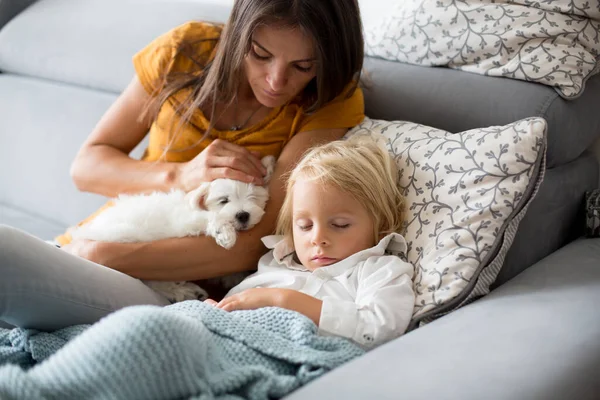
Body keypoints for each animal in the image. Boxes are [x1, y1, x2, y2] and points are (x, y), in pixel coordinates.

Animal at [71, 155, 276, 302]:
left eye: (253, 197)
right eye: (223, 200)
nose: (243, 215)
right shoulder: (188, 221)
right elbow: (212, 218)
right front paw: (225, 234)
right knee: (150, 280)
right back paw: (184, 291)